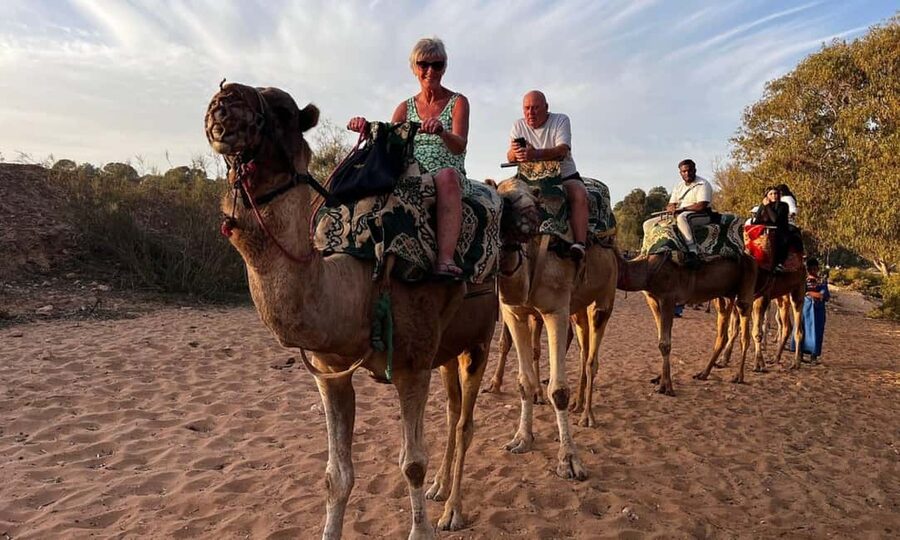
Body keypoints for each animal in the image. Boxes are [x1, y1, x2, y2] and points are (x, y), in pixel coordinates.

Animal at [204, 83, 502, 539]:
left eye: (284, 111)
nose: (225, 101)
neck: (361, 281)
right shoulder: (330, 372)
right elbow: (336, 475)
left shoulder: (412, 366)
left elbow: (412, 464)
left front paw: (422, 528)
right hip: (447, 349)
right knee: (453, 412)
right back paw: (439, 490)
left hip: (480, 341)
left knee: (465, 422)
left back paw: (452, 510)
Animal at [494, 177, 617, 480]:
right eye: (502, 196)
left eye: (535, 196)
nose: (530, 216)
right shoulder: (514, 313)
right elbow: (524, 382)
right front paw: (521, 439)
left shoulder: (555, 310)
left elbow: (559, 390)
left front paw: (569, 460)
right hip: (577, 308)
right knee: (584, 350)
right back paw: (578, 406)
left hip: (604, 298)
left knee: (592, 358)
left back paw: (587, 416)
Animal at [616, 250, 758, 394]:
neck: (646, 267)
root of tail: (751, 259)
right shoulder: (652, 300)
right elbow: (663, 338)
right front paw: (659, 379)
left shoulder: (668, 297)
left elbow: (665, 343)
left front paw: (666, 387)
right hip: (724, 296)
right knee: (722, 334)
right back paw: (703, 374)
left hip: (745, 292)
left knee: (745, 334)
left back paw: (739, 376)